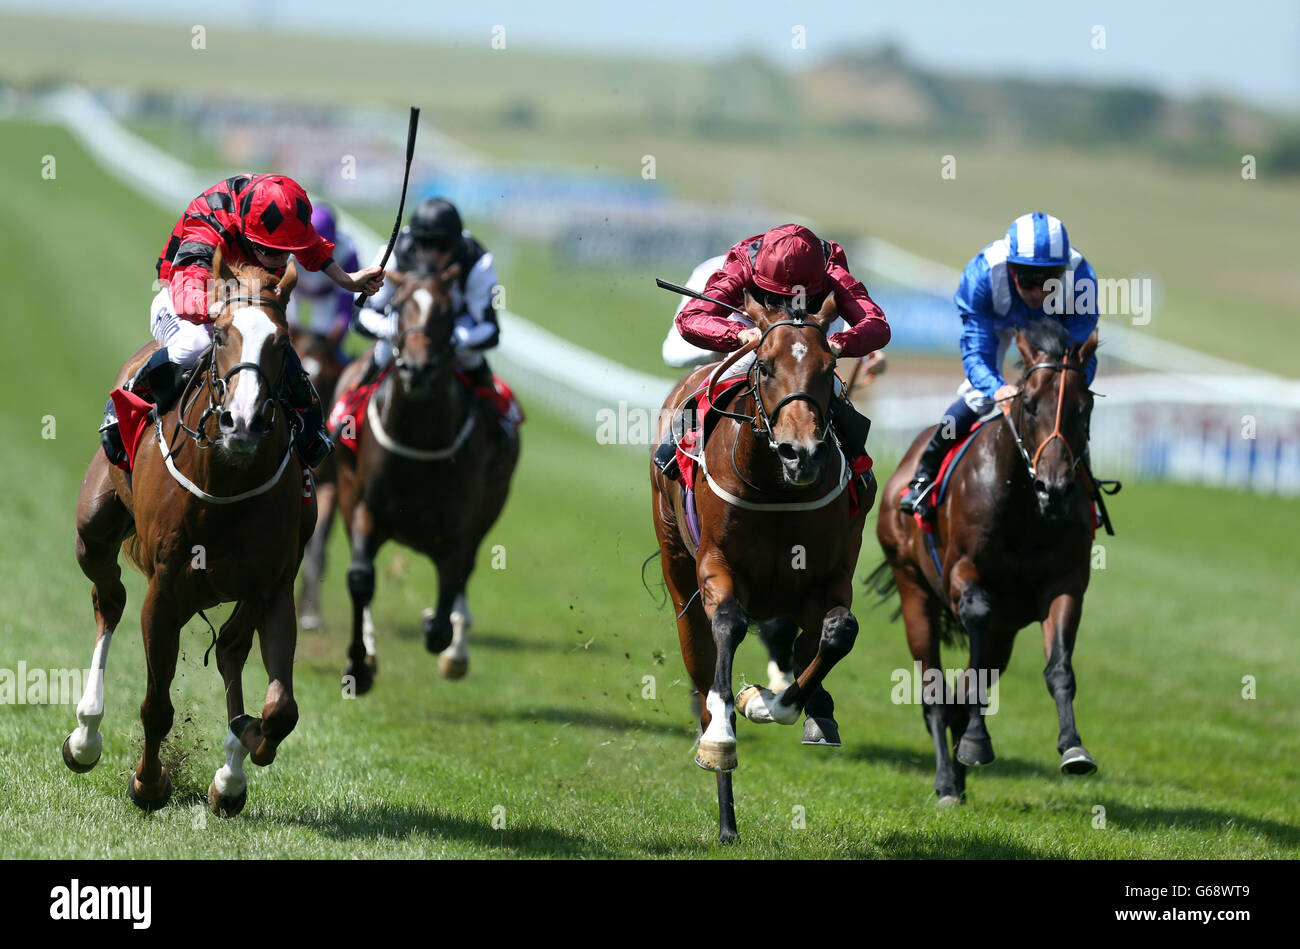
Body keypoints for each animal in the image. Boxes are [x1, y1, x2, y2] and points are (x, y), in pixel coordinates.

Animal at [67, 249, 314, 811]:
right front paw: (149, 782)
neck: (225, 481)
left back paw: (230, 776)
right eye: (220, 335)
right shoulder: (165, 588)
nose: (242, 421)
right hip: (94, 530)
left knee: (229, 649)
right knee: (109, 600)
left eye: (282, 342)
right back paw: (85, 736)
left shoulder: (274, 587)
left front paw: (243, 745)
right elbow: (157, 706)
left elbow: (280, 711)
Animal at [332, 270, 520, 691]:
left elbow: (446, 604)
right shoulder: (365, 507)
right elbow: (360, 579)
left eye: (448, 312)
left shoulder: (460, 528)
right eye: (399, 306)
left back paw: (455, 649)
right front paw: (358, 664)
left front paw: (443, 634)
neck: (418, 438)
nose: (417, 369)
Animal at [647, 292, 873, 837]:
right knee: (702, 664)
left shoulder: (827, 578)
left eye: (829, 367)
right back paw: (726, 815)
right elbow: (729, 623)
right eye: (765, 366)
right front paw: (724, 735)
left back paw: (816, 711)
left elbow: (839, 633)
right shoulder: (717, 566)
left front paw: (769, 702)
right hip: (679, 575)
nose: (802, 453)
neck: (775, 488)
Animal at [878, 321, 1102, 800]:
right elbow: (975, 619)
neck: (1025, 509)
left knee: (966, 692)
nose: (1054, 488)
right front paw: (976, 744)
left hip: (1006, 629)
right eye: (1029, 404)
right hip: (913, 589)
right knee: (933, 691)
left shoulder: (1065, 583)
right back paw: (947, 780)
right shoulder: (963, 574)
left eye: (1085, 405)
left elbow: (1058, 667)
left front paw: (1073, 747)